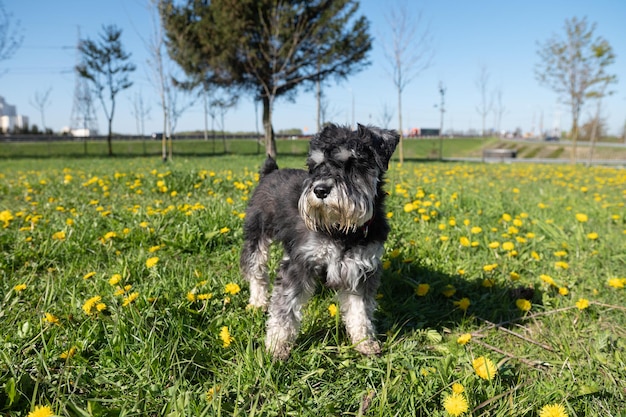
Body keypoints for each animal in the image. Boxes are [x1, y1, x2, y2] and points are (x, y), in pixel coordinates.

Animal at [239, 122, 400, 358]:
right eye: (315, 165)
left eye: (353, 162)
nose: (320, 190)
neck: (342, 230)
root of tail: (271, 172)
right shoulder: (299, 263)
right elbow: (284, 307)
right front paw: (277, 346)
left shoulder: (360, 269)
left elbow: (360, 310)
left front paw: (365, 341)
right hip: (256, 235)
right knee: (256, 269)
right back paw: (258, 303)